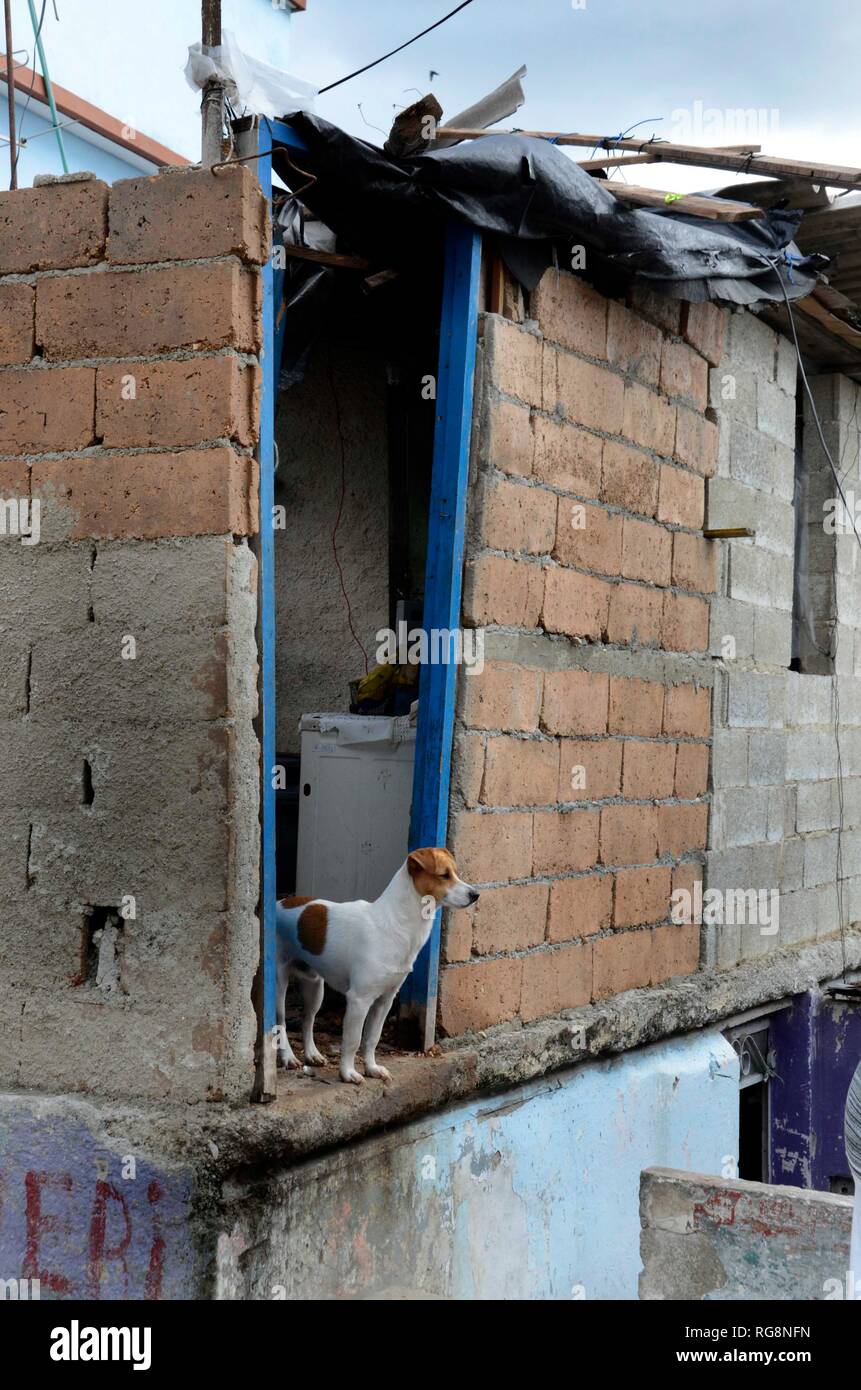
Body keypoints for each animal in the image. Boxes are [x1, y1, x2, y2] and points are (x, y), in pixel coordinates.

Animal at [276, 845, 478, 1084]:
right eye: (444, 875)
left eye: (456, 873)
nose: (476, 894)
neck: (398, 924)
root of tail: (279, 903)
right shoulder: (359, 1000)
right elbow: (352, 1041)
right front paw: (348, 1073)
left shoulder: (385, 1000)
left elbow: (372, 1038)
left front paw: (371, 1068)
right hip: (278, 986)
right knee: (280, 1024)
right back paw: (288, 1057)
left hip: (315, 988)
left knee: (308, 1019)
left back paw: (312, 1054)